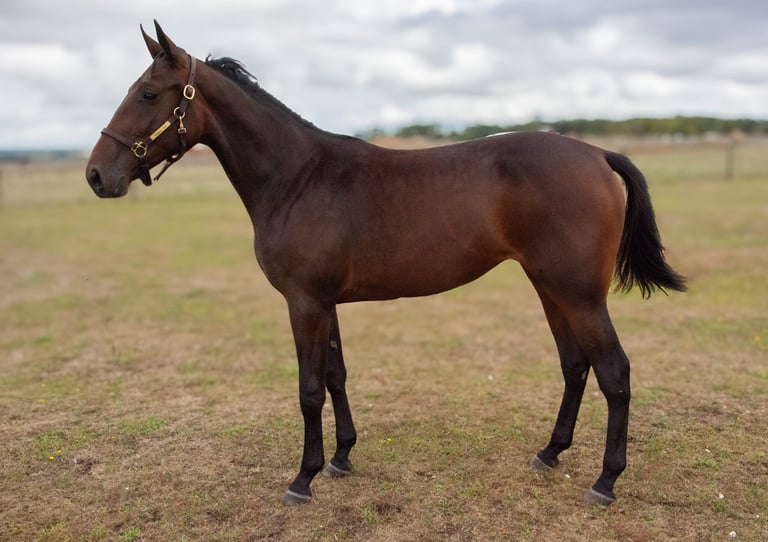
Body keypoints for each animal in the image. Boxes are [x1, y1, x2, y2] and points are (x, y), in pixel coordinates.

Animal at [86, 21, 686, 507]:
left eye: (148, 93)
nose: (96, 175)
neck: (298, 178)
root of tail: (596, 154)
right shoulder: (323, 303)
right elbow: (335, 376)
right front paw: (341, 458)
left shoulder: (304, 303)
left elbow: (308, 388)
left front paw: (302, 479)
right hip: (550, 288)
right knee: (575, 365)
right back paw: (550, 452)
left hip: (579, 295)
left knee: (615, 373)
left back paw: (606, 481)